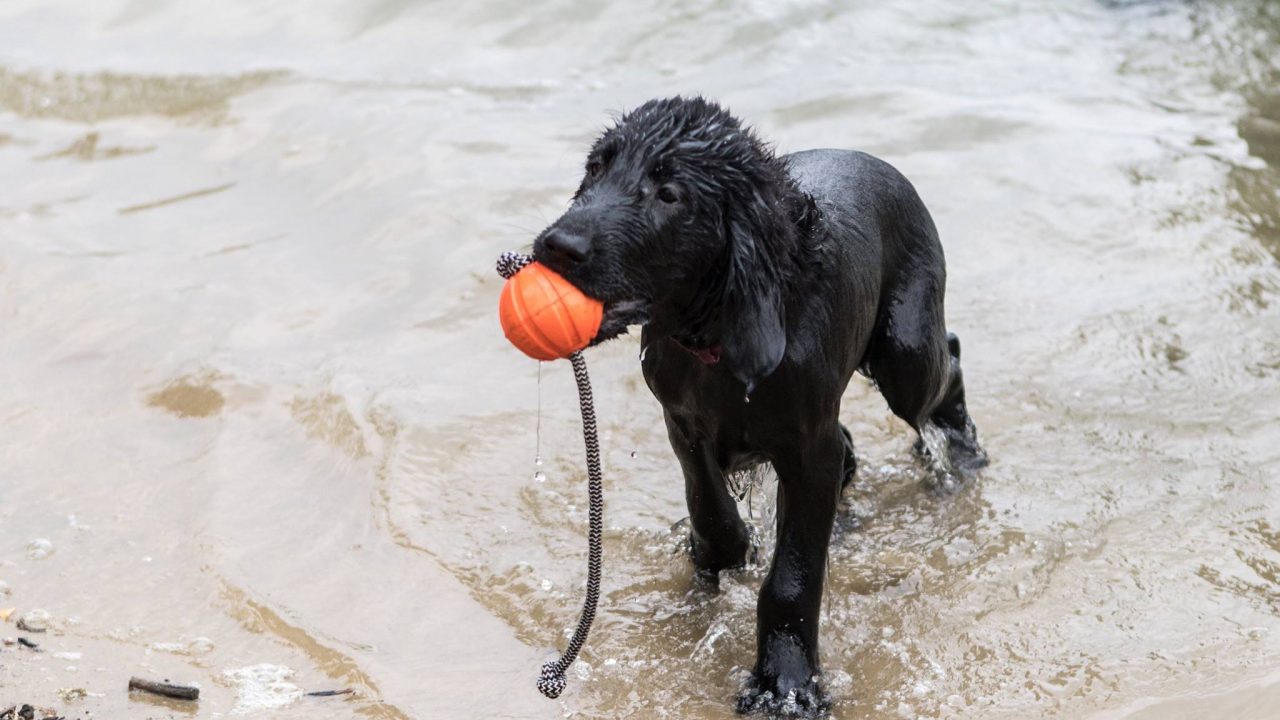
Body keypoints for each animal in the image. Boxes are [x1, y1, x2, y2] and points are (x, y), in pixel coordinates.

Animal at [535, 96, 983, 712]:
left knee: (948, 362)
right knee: (851, 442)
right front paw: (717, 559)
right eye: (597, 168)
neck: (716, 335)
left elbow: (793, 578)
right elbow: (713, 512)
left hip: (904, 353)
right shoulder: (685, 423)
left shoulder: (808, 448)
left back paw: (960, 450)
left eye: (670, 194)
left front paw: (786, 684)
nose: (557, 246)